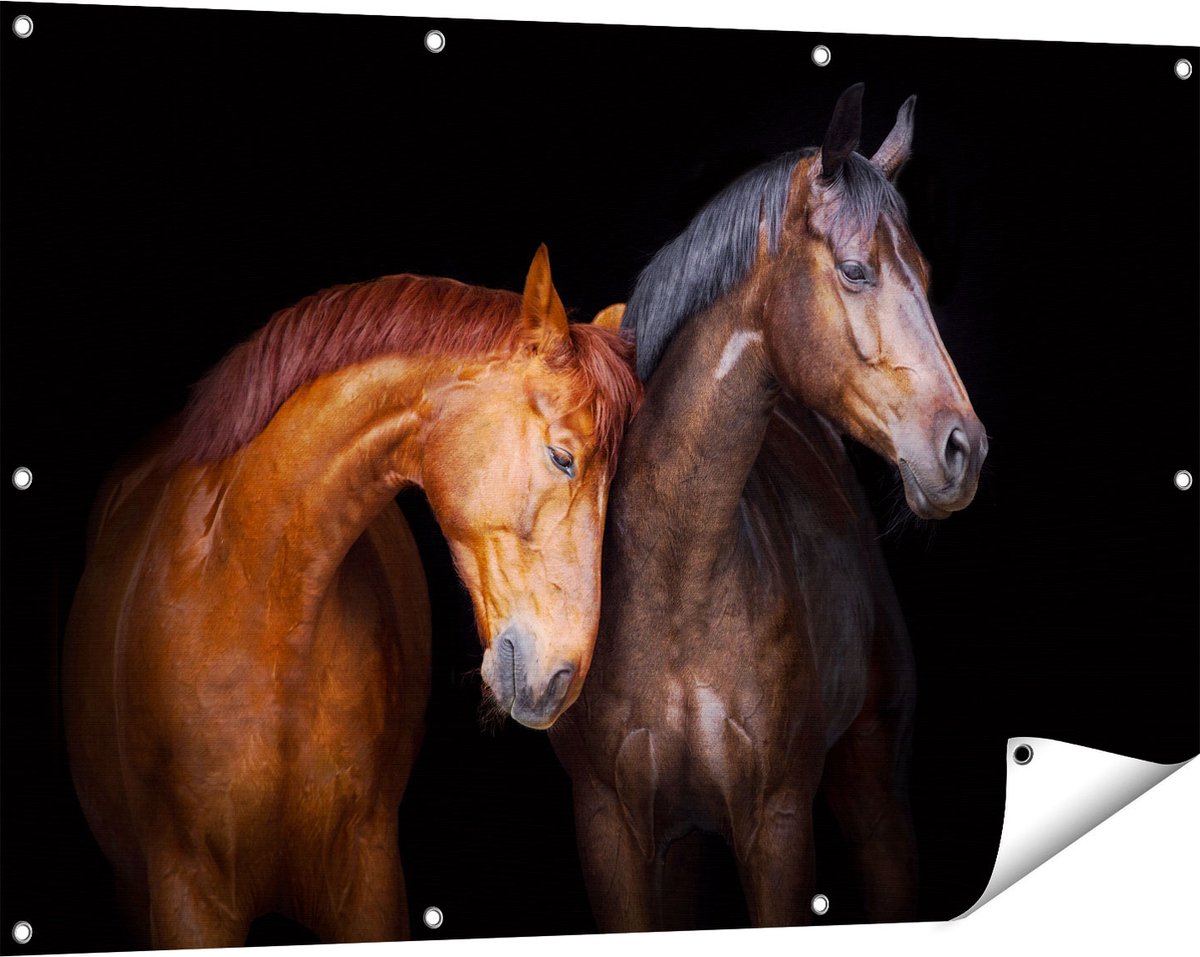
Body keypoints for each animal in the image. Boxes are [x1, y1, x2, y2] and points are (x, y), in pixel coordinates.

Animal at [549, 85, 987, 930]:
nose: (963, 449)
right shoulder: (610, 829)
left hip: (875, 799)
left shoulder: (778, 825)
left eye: (923, 273)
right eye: (855, 269)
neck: (678, 574)